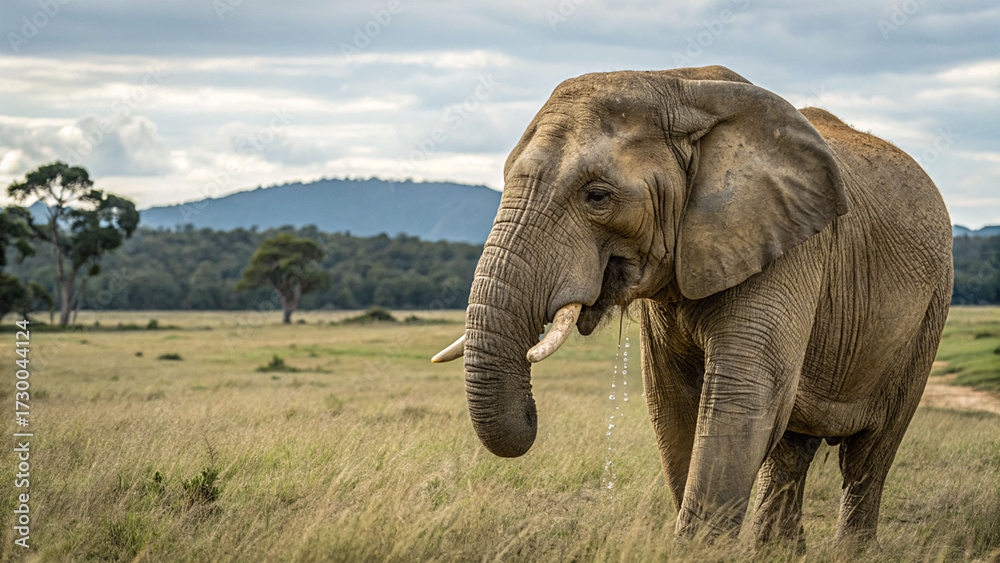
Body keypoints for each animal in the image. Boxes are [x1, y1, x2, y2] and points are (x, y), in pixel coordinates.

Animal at [432, 65, 953, 547]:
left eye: (597, 196)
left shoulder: (790, 247)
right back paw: (777, 550)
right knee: (792, 446)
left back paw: (851, 547)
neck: (681, 85)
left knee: (870, 452)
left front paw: (698, 547)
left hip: (931, 308)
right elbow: (672, 401)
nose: (532, 413)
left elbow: (742, 395)